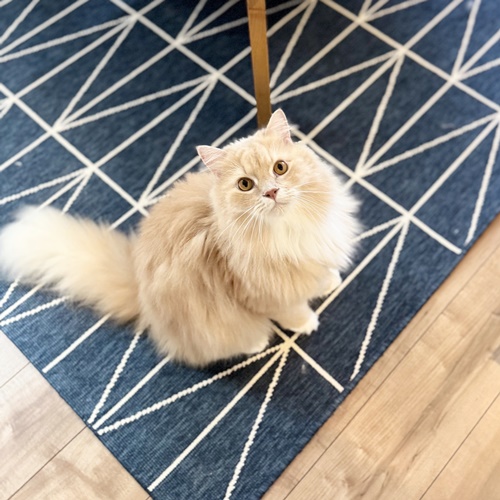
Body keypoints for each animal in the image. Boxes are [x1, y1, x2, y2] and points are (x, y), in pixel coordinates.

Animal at [0, 109, 360, 367]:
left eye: (280, 168)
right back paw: (255, 341)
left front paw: (327, 281)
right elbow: (290, 309)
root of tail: (140, 290)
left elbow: (318, 274)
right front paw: (306, 321)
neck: (288, 231)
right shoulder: (261, 294)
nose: (271, 192)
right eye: (245, 185)